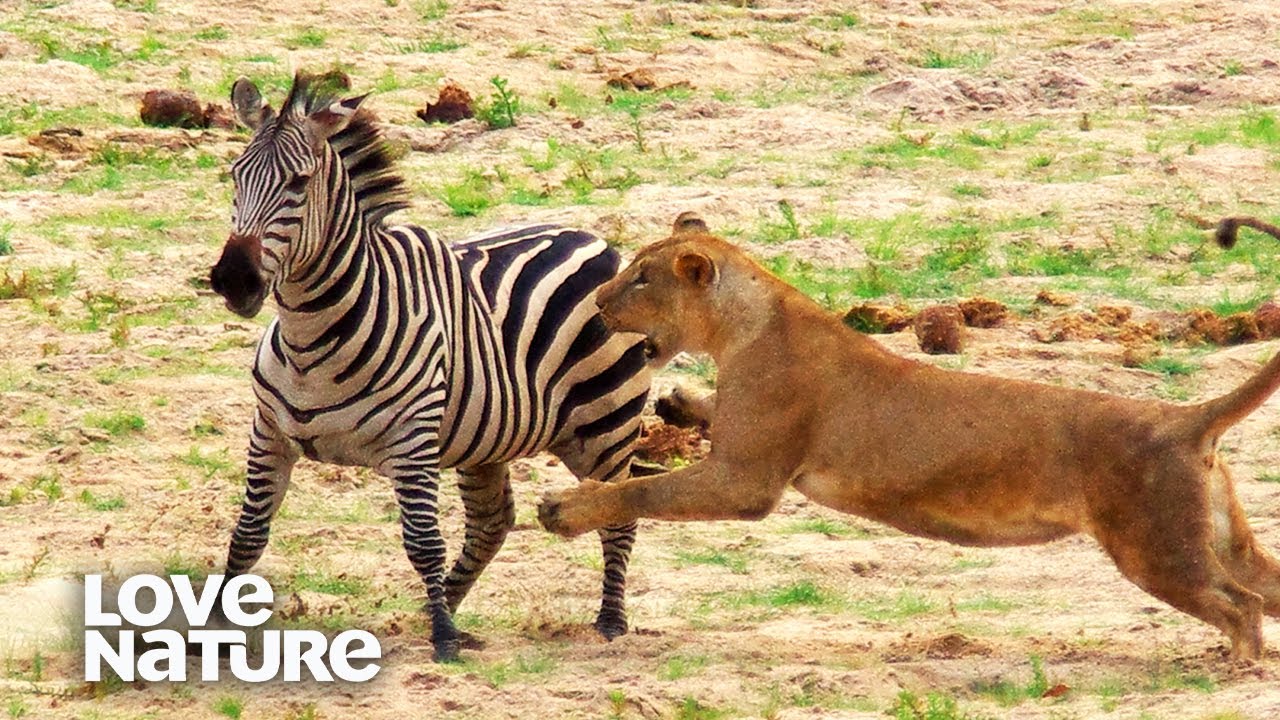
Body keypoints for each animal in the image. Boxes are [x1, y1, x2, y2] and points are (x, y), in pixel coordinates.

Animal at [207, 72, 653, 661]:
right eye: (235, 176)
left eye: (299, 183)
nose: (233, 279)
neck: (310, 342)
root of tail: (592, 238)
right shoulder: (268, 435)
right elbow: (247, 535)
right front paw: (214, 629)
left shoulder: (412, 442)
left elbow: (422, 541)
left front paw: (442, 640)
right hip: (489, 438)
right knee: (491, 524)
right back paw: (442, 612)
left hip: (607, 425)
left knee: (618, 515)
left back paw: (608, 621)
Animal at [538, 213, 1280, 660]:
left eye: (641, 278)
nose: (597, 301)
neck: (745, 323)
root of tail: (1186, 418)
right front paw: (681, 399)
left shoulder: (746, 479)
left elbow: (645, 492)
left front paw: (566, 507)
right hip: (1218, 539)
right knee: (1260, 587)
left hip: (1155, 548)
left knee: (1239, 606)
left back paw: (1235, 669)